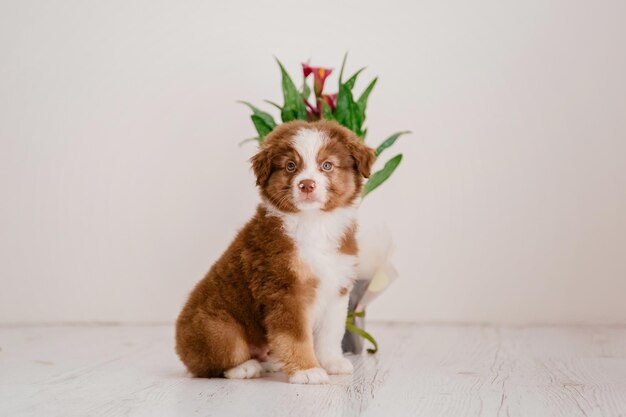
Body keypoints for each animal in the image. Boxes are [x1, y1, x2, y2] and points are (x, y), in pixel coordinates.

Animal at [173, 118, 372, 382]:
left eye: (327, 165)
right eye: (290, 166)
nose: (306, 185)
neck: (314, 223)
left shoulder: (337, 287)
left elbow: (330, 333)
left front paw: (332, 363)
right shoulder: (284, 290)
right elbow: (296, 337)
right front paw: (307, 370)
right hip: (218, 329)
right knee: (210, 364)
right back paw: (245, 368)